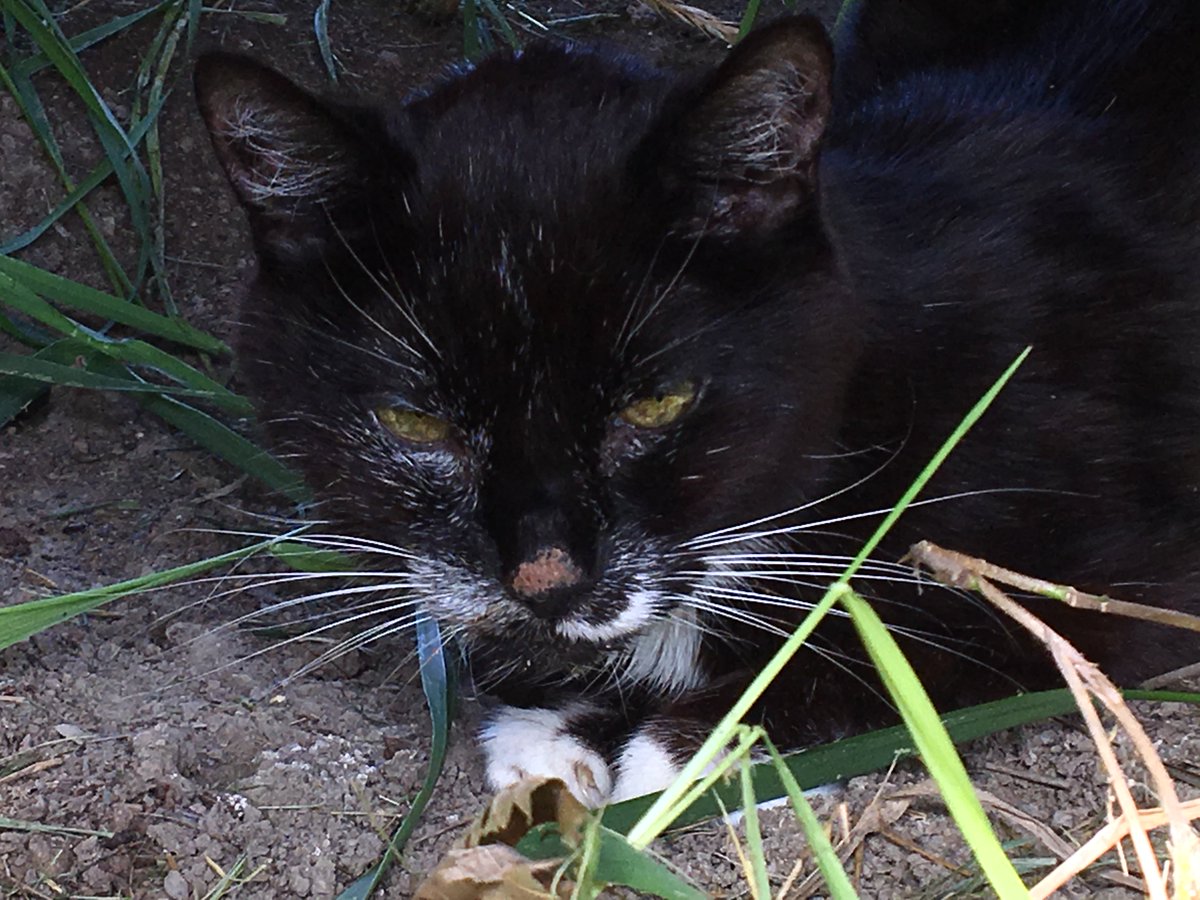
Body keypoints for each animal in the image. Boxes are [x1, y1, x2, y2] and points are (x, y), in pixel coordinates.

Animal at [196, 0, 1200, 801]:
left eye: (657, 405)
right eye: (415, 422)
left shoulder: (1125, 561)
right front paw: (566, 723)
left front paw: (687, 742)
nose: (548, 581)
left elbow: (956, 632)